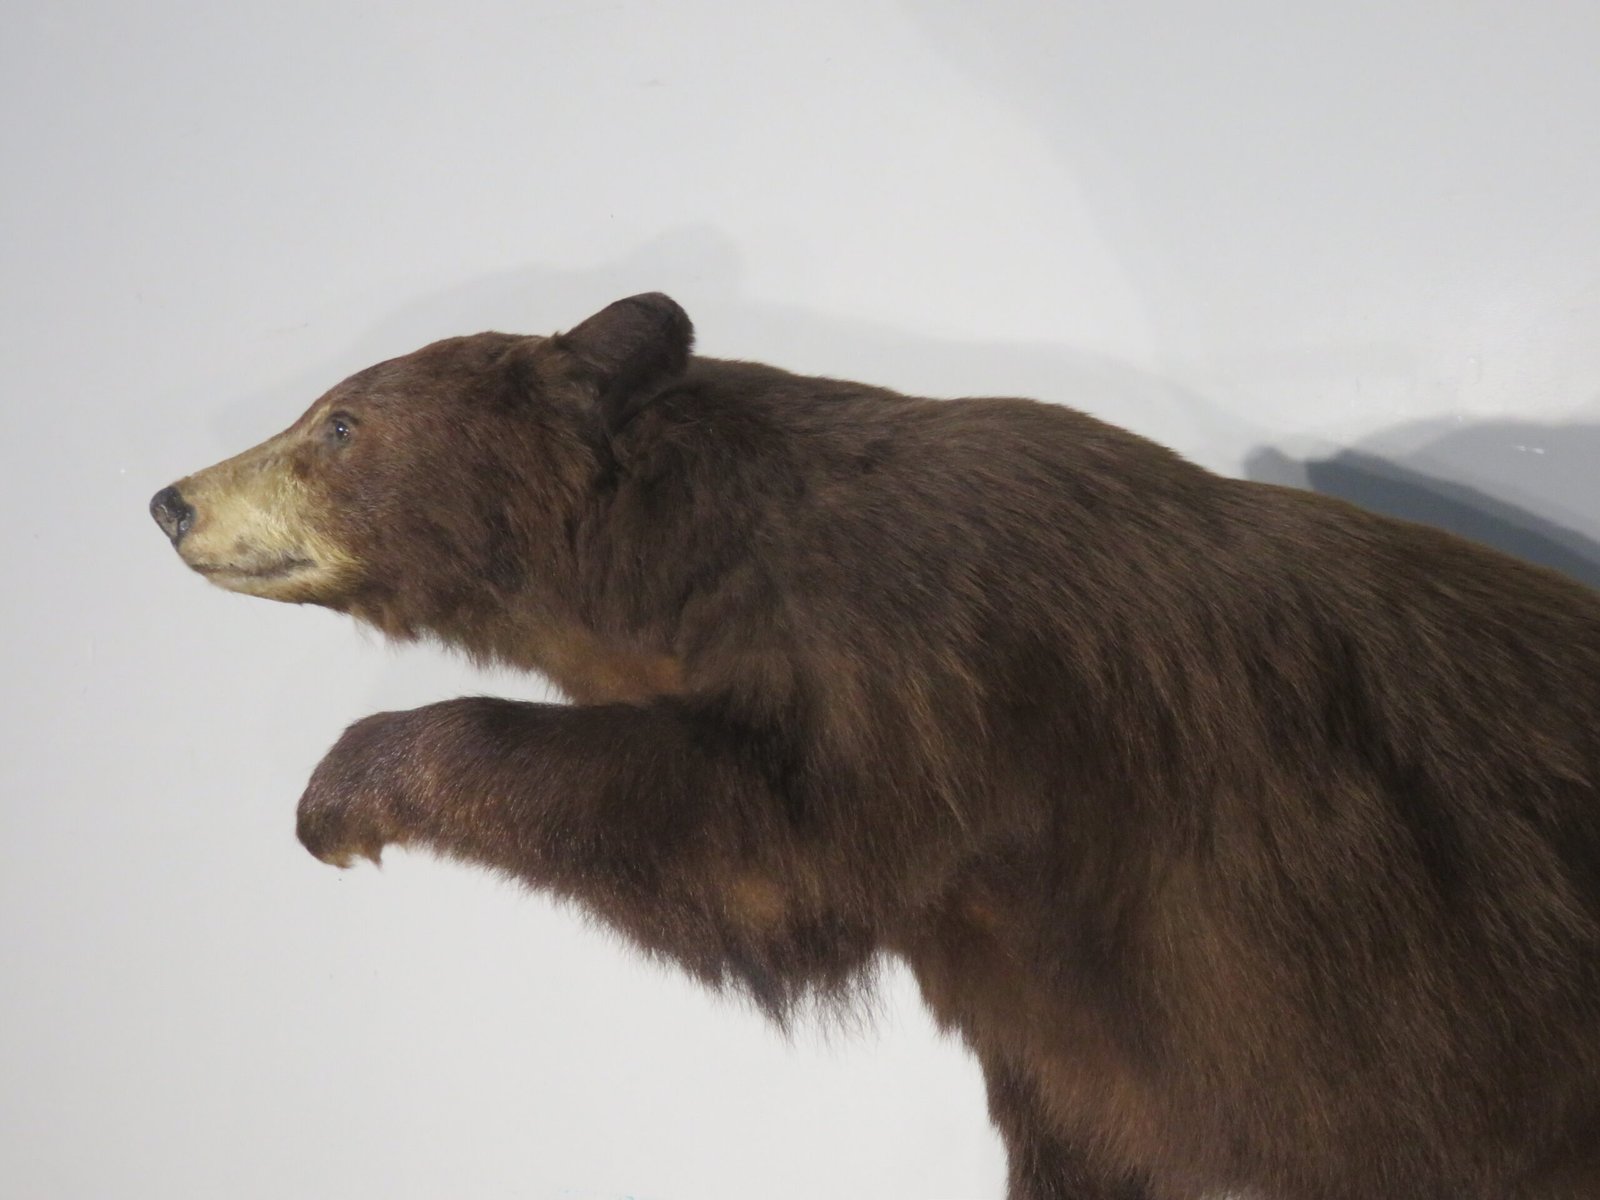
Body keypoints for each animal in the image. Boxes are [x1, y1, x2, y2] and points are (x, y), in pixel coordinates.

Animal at [151, 293, 1600, 1200]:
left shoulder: (938, 687)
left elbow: (762, 840)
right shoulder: (1038, 989)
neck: (704, 569)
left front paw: (349, 791)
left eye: (338, 423)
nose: (173, 499)